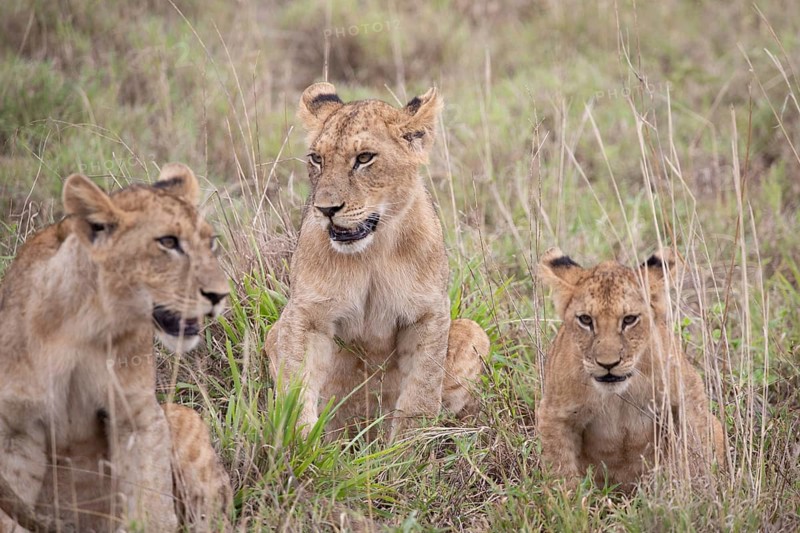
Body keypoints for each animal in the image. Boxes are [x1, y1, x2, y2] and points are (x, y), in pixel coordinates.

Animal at [0, 164, 233, 532]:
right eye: (168, 242)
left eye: (210, 243)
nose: (220, 295)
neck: (82, 326)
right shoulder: (15, 431)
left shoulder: (139, 416)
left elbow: (152, 508)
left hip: (181, 418)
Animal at [265, 82, 490, 440]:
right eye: (317, 158)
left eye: (364, 158)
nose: (326, 209)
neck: (370, 252)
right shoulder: (306, 314)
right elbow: (296, 385)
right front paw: (300, 442)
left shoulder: (428, 313)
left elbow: (421, 393)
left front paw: (408, 449)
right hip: (275, 331)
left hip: (473, 331)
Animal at [536, 247, 726, 488]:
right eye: (586, 320)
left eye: (629, 319)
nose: (608, 364)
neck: (617, 395)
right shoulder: (554, 415)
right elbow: (561, 472)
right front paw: (570, 498)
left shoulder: (689, 396)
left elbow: (696, 452)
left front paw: (697, 491)